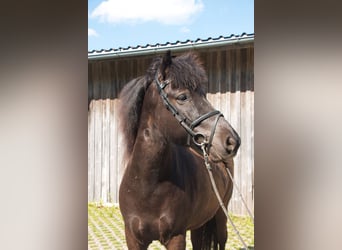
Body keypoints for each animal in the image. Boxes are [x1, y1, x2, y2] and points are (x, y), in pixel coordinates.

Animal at [117, 51, 240, 249]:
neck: (148, 186)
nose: (232, 141)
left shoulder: (176, 237)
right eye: (183, 97)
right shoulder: (133, 239)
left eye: (204, 95)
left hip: (221, 216)